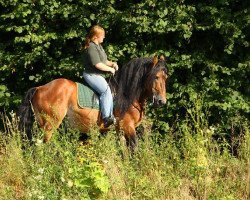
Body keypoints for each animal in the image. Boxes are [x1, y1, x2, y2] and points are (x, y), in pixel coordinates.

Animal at [18, 55, 168, 148]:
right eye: (156, 77)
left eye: (165, 77)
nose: (162, 101)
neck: (126, 95)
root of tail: (39, 88)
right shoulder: (128, 127)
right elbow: (134, 150)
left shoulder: (119, 130)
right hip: (50, 125)